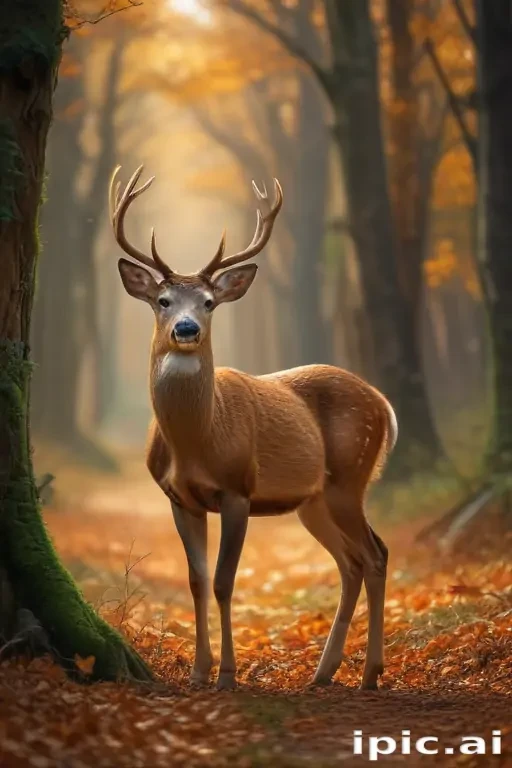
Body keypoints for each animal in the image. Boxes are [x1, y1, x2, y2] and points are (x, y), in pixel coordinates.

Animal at [109, 165, 397, 691]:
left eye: (208, 302)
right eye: (162, 300)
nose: (186, 329)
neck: (196, 442)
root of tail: (383, 404)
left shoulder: (238, 488)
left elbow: (226, 581)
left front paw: (227, 674)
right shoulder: (178, 497)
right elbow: (197, 581)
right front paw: (198, 672)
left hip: (351, 477)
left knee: (375, 553)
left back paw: (369, 673)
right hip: (314, 500)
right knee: (351, 562)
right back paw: (324, 673)